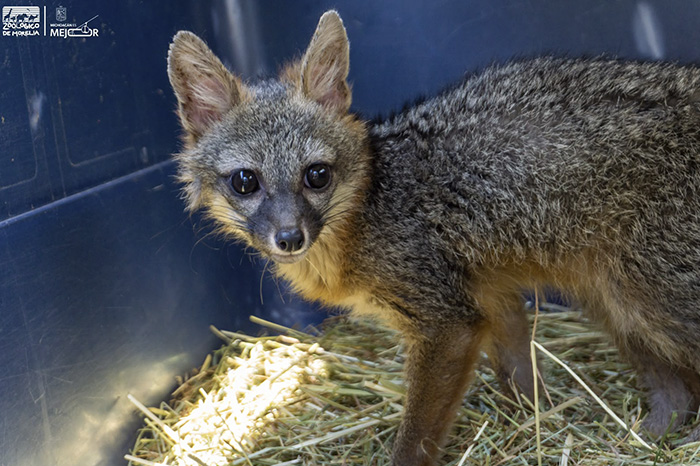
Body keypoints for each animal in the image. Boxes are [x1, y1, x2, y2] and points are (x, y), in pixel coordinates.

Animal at [167, 10, 700, 466]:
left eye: (316, 175)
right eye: (245, 182)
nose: (289, 237)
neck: (371, 208)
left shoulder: (448, 323)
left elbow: (415, 436)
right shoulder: (492, 297)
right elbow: (521, 377)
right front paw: (533, 429)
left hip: (651, 305)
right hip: (615, 304)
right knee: (677, 396)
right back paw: (646, 438)